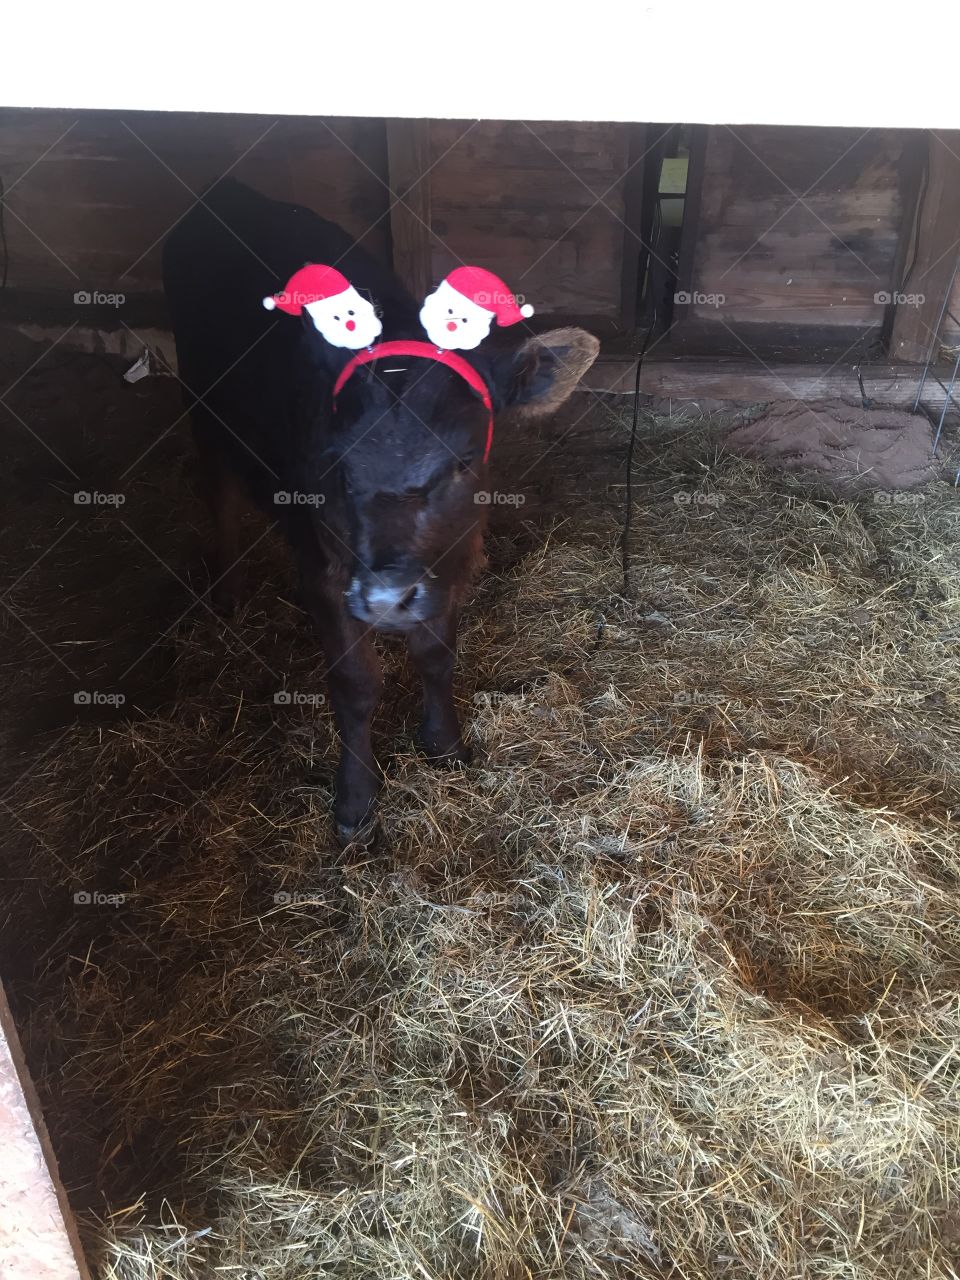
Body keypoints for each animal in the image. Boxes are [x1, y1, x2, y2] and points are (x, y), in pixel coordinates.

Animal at [162, 179, 598, 844]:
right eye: (336, 463)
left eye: (463, 460)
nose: (388, 598)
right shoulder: (325, 571)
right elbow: (356, 685)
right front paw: (356, 802)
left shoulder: (453, 558)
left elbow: (437, 656)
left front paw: (445, 744)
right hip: (201, 404)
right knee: (221, 496)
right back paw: (230, 589)